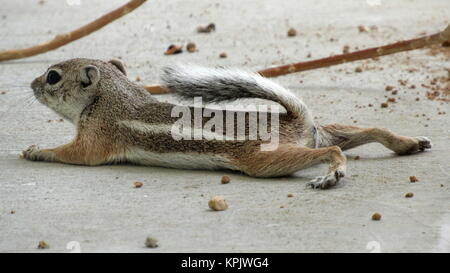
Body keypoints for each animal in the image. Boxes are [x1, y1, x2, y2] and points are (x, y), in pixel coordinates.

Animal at [22, 58, 432, 188]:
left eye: (53, 77)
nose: (31, 83)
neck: (111, 96)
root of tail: (296, 120)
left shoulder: (96, 138)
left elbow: (73, 154)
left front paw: (35, 150)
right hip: (321, 131)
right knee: (368, 130)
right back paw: (409, 142)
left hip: (265, 161)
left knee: (331, 150)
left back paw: (331, 174)